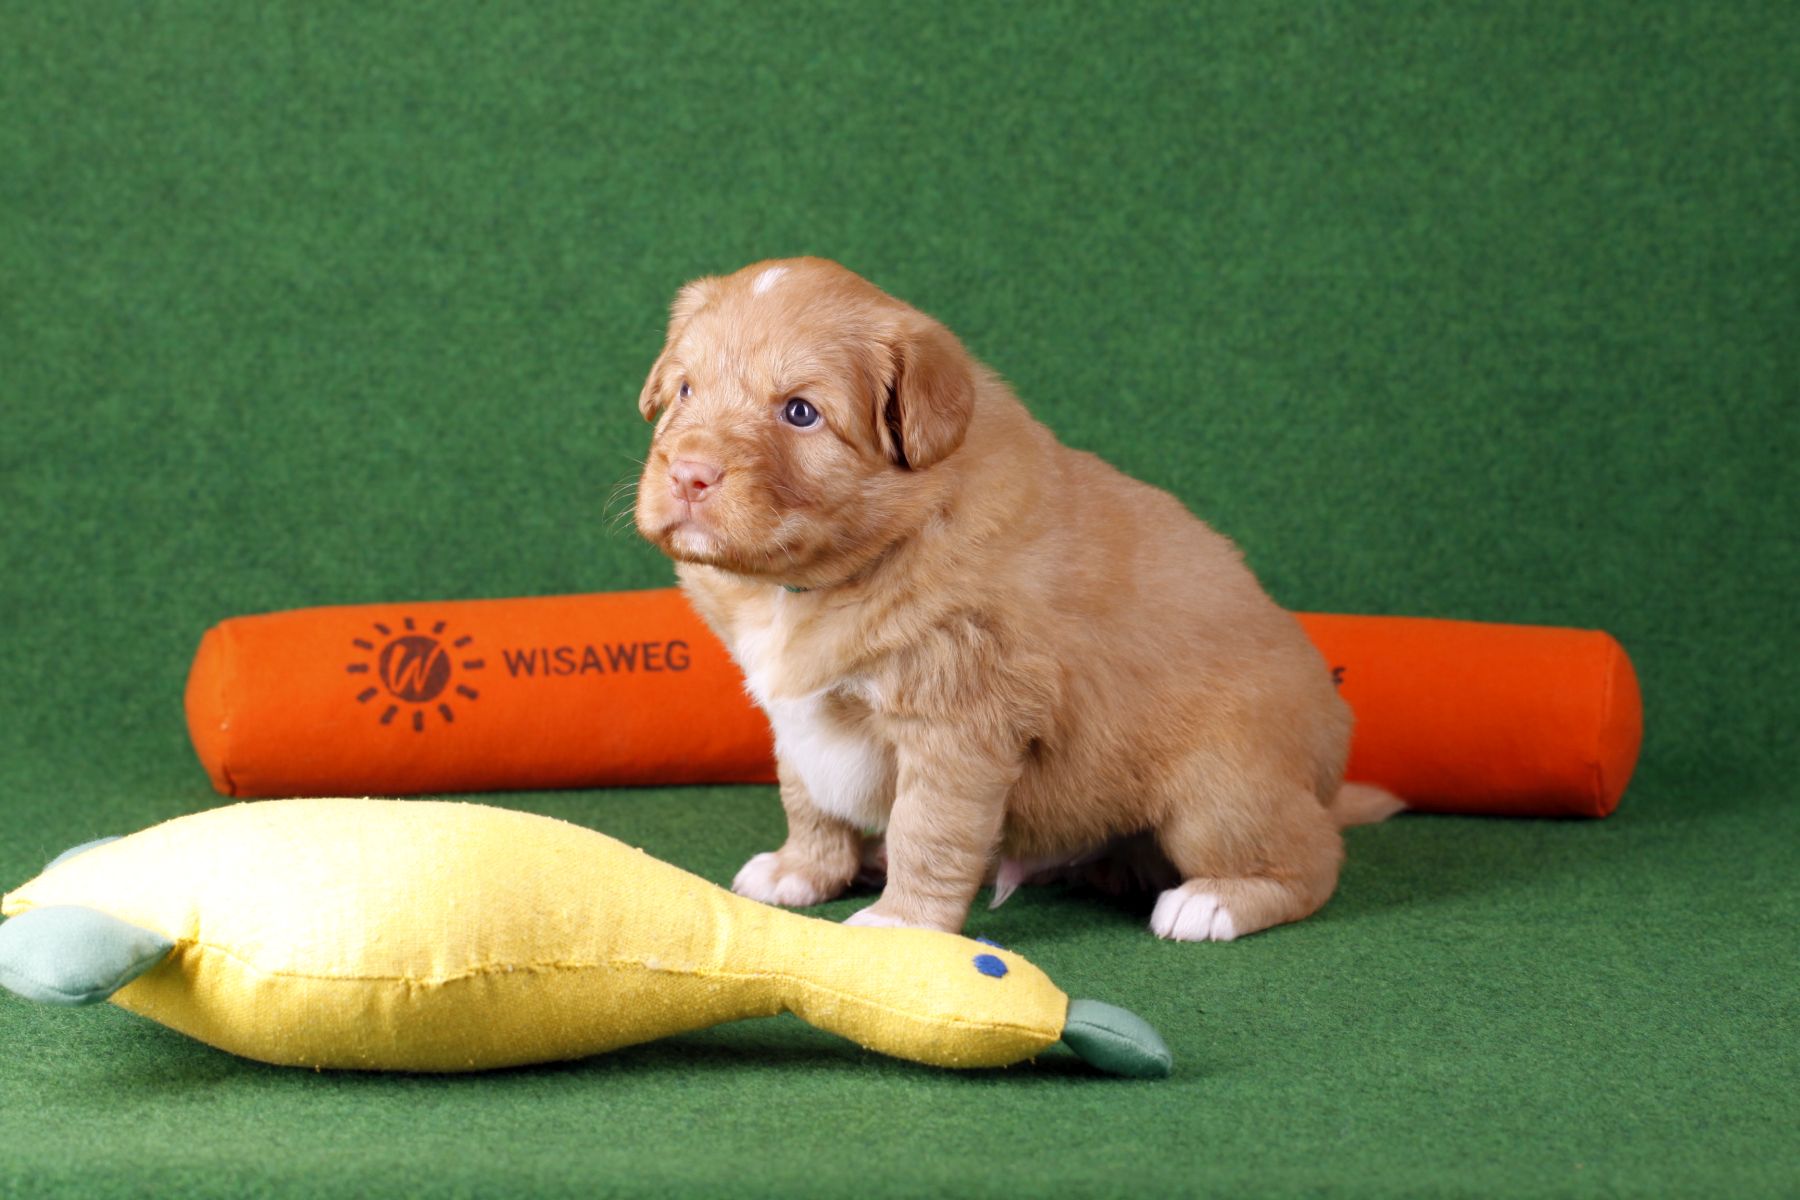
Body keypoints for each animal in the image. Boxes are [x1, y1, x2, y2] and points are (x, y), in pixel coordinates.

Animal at [633, 257, 1401, 941]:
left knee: (1314, 857)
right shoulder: (799, 718)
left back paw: (1216, 901)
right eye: (686, 391)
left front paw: (902, 925)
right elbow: (808, 798)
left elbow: (928, 830)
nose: (689, 474)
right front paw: (802, 871)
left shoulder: (959, 722)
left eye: (800, 412)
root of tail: (1328, 767)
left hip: (1219, 789)